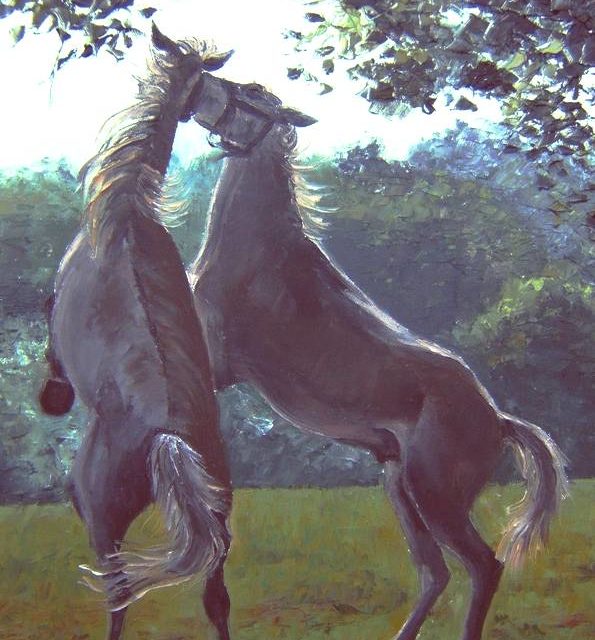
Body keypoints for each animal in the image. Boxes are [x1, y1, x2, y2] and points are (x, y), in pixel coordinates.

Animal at [39, 26, 238, 640]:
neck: (126, 209)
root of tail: (165, 436)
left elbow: (51, 356)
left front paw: (52, 395)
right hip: (220, 512)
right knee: (216, 597)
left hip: (102, 519)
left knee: (118, 595)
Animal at [187, 82, 569, 639]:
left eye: (252, 94)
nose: (198, 87)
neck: (259, 251)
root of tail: (499, 419)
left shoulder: (216, 363)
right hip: (401, 488)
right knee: (435, 571)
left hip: (435, 494)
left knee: (483, 565)